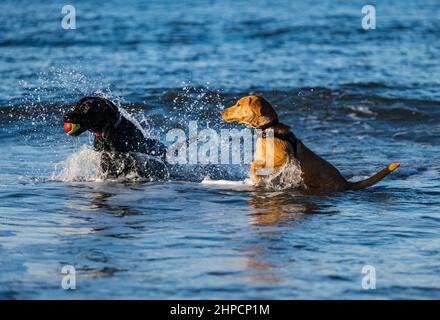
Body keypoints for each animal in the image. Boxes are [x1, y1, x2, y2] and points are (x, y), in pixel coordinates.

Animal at [222, 94, 400, 190]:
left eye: (238, 104)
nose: (221, 112)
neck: (269, 129)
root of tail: (345, 183)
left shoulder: (283, 159)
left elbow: (255, 166)